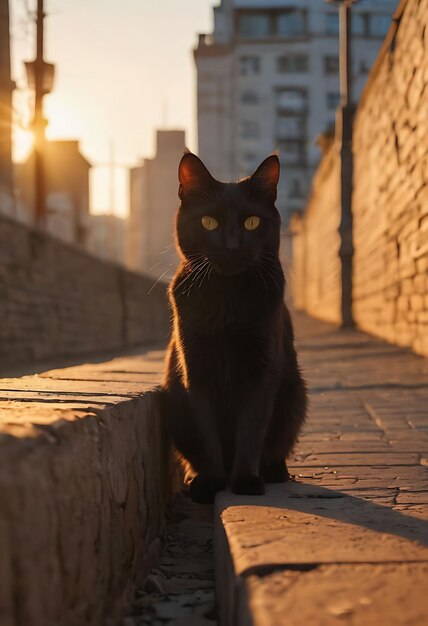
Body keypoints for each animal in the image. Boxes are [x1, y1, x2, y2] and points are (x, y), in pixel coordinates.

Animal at [160, 152, 304, 502]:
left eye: (251, 222)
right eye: (209, 222)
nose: (232, 245)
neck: (228, 299)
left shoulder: (261, 371)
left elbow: (251, 430)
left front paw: (246, 481)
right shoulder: (196, 370)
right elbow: (206, 431)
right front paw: (210, 481)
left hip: (296, 396)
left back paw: (274, 470)